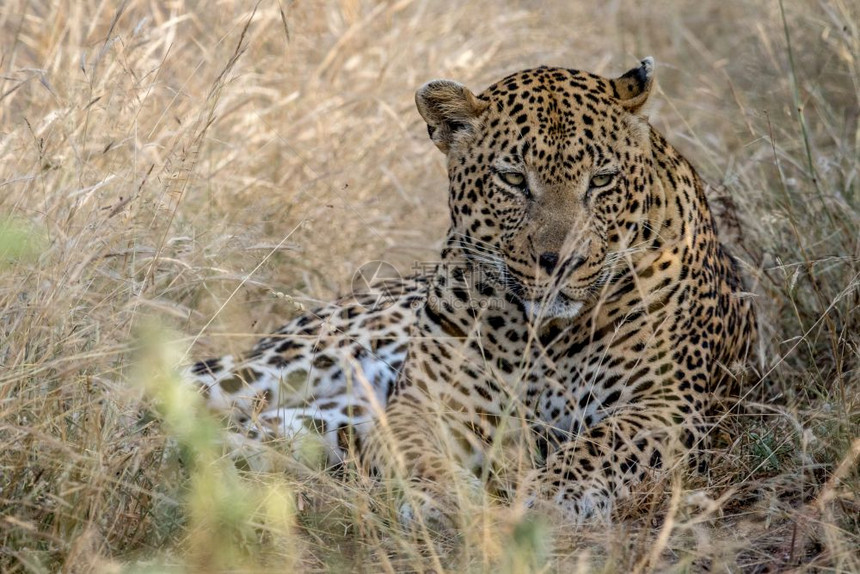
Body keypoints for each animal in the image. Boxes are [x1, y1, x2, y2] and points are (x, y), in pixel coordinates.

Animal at [185, 58, 756, 528]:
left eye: (602, 180)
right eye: (513, 179)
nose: (561, 262)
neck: (544, 333)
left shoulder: (668, 405)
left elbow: (601, 445)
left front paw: (553, 496)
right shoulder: (424, 404)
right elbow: (415, 453)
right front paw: (443, 498)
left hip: (318, 421)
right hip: (296, 361)